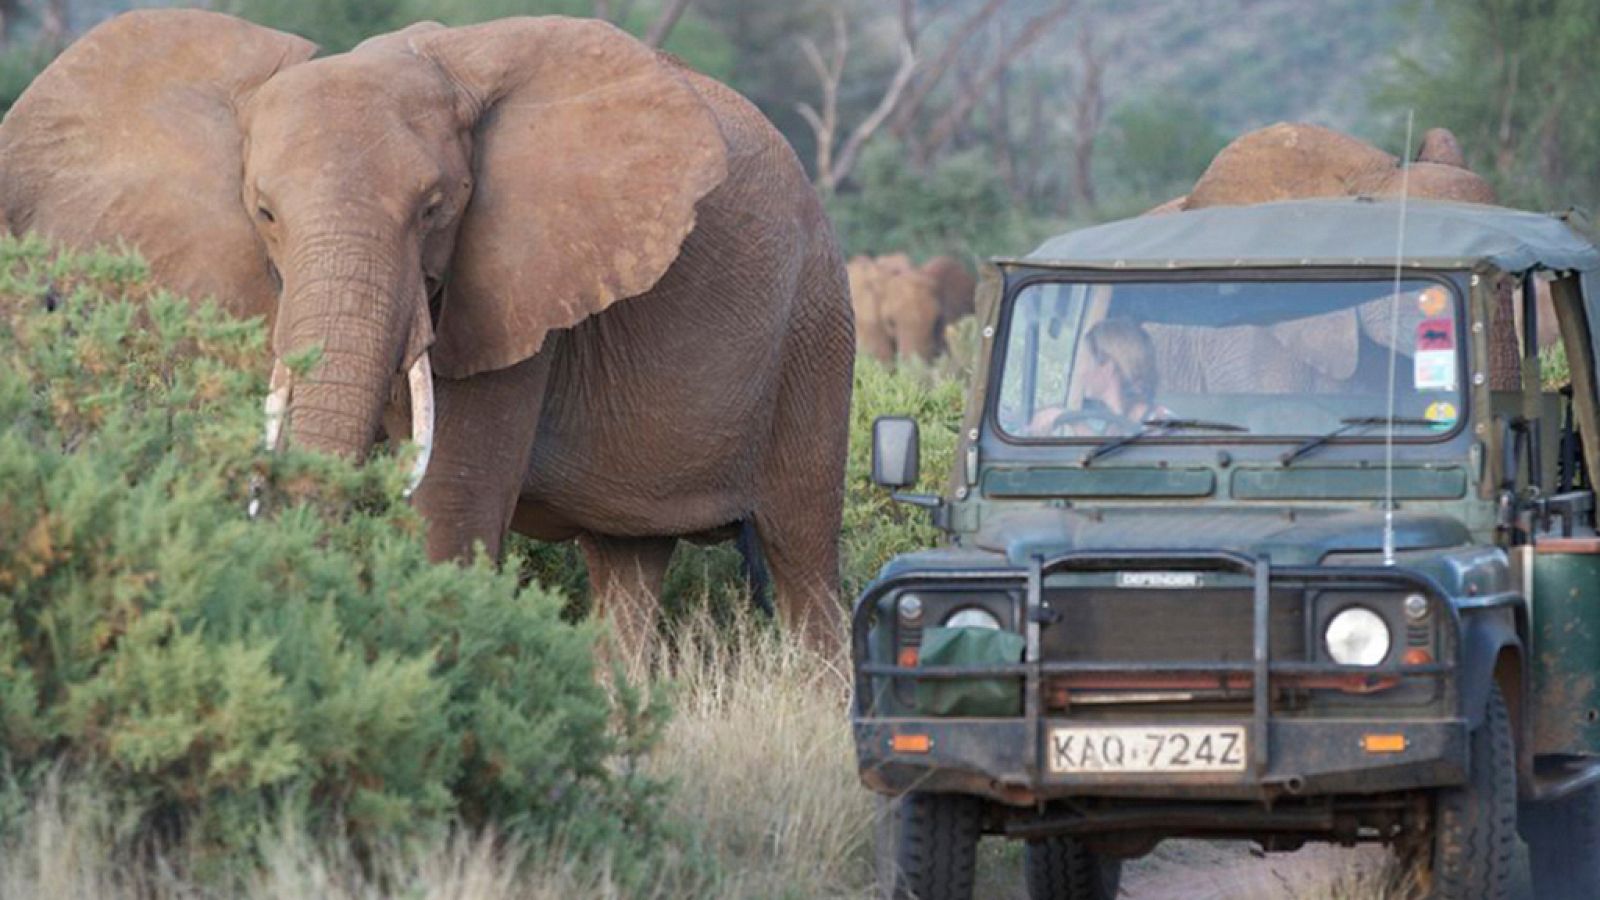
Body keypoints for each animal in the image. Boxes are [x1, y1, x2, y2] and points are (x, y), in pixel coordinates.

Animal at [0, 10, 857, 656]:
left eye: (435, 209)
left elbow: (450, 509)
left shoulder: (516, 296)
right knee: (627, 564)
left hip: (815, 329)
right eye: (265, 212)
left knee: (802, 559)